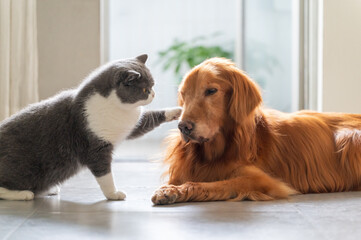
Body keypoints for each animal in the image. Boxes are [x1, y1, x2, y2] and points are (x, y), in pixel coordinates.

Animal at [0, 54, 180, 201]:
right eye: (144, 89)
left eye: (153, 85)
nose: (153, 94)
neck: (118, 108)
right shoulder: (96, 147)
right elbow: (104, 174)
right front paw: (113, 194)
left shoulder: (130, 126)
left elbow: (148, 120)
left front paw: (176, 111)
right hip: (23, 168)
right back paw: (24, 194)